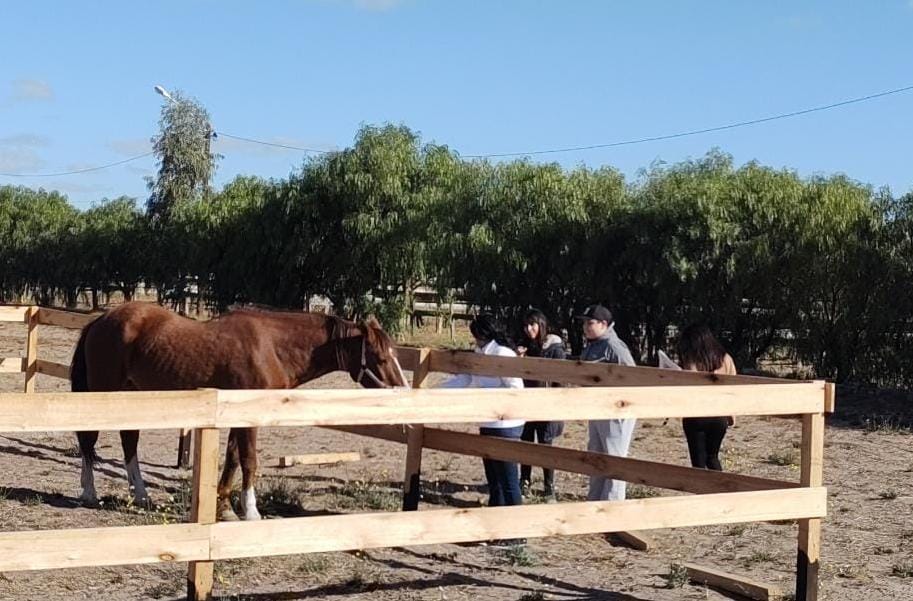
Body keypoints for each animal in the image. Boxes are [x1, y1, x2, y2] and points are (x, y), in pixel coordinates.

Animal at [70, 301, 408, 520]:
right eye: (380, 357)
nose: (404, 392)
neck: (272, 348)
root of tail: (102, 319)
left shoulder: (235, 415)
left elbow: (232, 459)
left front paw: (224, 507)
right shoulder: (250, 418)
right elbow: (248, 460)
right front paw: (251, 511)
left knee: (129, 439)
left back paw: (140, 495)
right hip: (101, 392)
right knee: (89, 439)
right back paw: (89, 493)